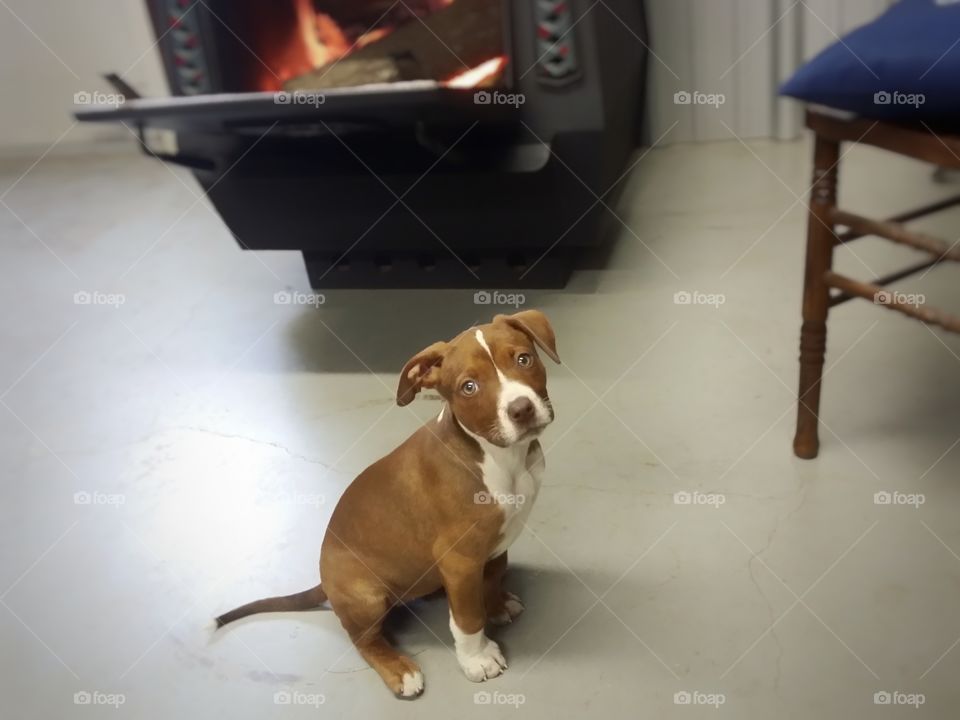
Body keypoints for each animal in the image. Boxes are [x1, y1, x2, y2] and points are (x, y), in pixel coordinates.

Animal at [214, 310, 560, 696]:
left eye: (523, 359)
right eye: (469, 387)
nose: (521, 409)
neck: (501, 458)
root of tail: (324, 580)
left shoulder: (493, 543)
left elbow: (493, 574)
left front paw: (497, 603)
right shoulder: (460, 559)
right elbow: (468, 618)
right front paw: (477, 658)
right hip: (365, 595)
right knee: (363, 640)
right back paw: (398, 669)